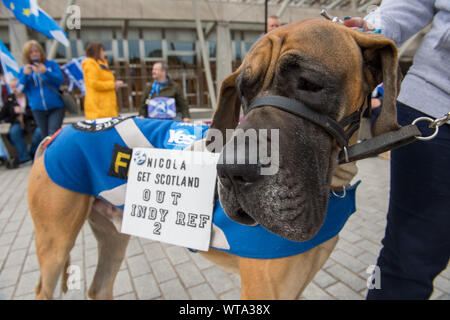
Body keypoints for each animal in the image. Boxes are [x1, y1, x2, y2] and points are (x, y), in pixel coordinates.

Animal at [28, 19, 400, 300]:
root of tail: (55, 134)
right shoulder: (264, 290)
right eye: (244, 89)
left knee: (99, 287)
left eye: (309, 83)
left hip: (114, 234)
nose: (232, 172)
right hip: (54, 242)